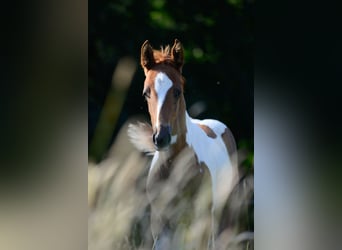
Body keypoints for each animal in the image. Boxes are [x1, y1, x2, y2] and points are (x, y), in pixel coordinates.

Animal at [128, 39, 238, 250]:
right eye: (146, 93)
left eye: (177, 92)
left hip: (223, 213)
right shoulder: (160, 224)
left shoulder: (200, 220)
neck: (174, 164)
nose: (161, 138)